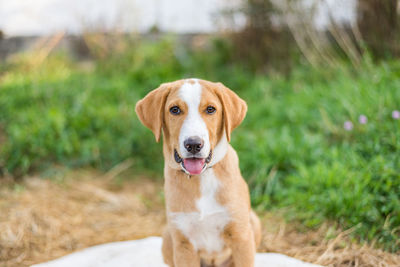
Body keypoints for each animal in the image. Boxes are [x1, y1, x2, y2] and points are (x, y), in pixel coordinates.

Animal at [136, 78, 262, 266]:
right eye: (174, 110)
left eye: (210, 109)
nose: (194, 144)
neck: (202, 178)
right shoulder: (183, 244)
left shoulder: (241, 237)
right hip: (168, 236)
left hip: (253, 222)